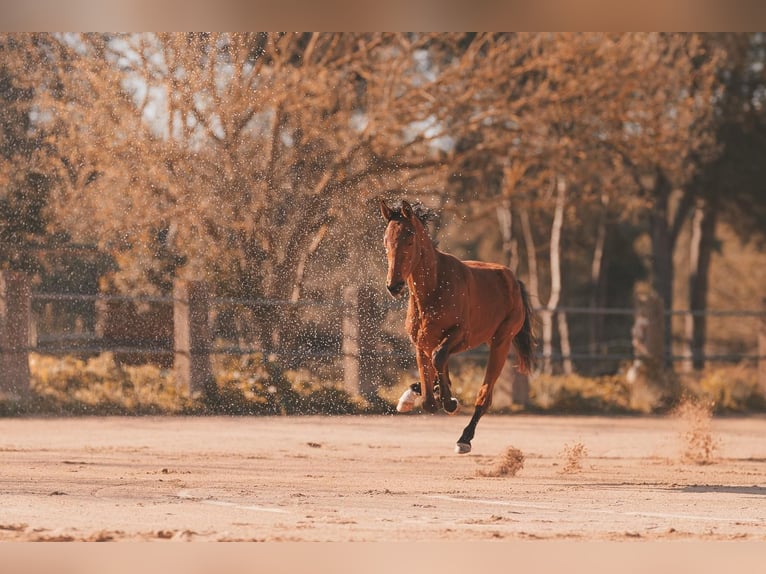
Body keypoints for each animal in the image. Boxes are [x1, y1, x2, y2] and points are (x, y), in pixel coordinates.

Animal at [379, 198, 536, 454]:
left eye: (409, 240)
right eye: (386, 241)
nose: (394, 286)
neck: (433, 289)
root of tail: (513, 279)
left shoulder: (461, 337)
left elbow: (439, 361)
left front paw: (451, 402)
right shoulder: (420, 345)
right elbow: (429, 396)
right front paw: (427, 395)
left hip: (501, 342)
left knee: (484, 395)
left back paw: (464, 438)